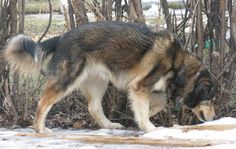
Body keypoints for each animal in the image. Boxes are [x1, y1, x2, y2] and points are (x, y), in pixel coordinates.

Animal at [2, 21, 216, 133]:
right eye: (209, 99)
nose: (215, 118)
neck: (178, 62)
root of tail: (62, 37)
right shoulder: (140, 87)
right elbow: (145, 109)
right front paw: (149, 126)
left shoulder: (147, 88)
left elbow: (158, 103)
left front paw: (143, 116)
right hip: (68, 80)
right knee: (43, 103)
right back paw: (40, 128)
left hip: (99, 82)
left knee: (94, 107)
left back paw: (109, 124)